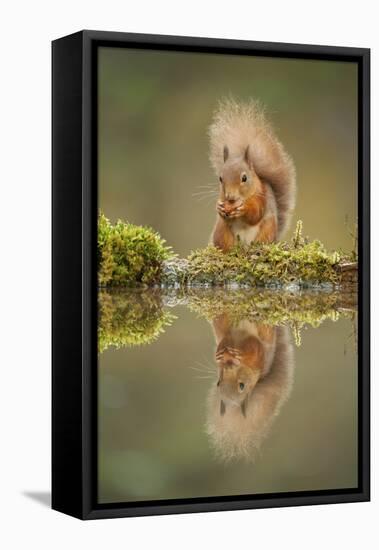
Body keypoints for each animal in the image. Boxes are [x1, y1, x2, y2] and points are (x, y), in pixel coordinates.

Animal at [208, 99, 296, 252]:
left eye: (244, 178)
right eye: (220, 178)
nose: (230, 196)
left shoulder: (261, 196)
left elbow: (255, 214)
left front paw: (243, 208)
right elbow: (223, 213)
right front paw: (219, 207)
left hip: (267, 229)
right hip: (221, 232)